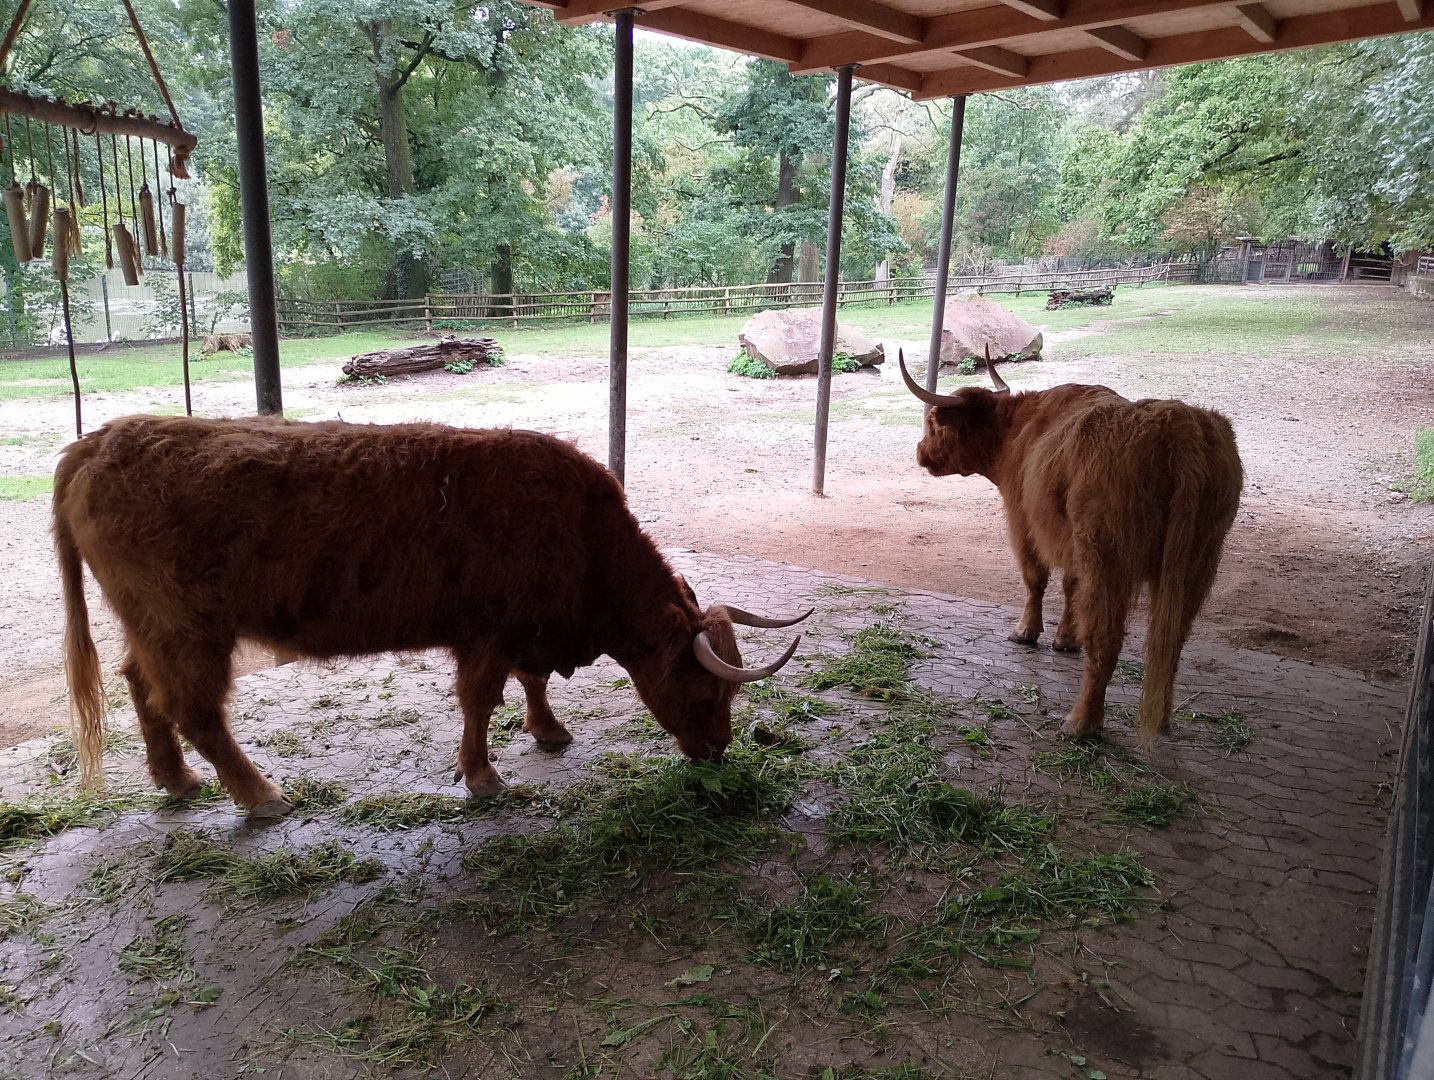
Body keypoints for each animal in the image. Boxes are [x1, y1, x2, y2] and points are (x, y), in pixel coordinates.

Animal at [53, 415, 810, 818]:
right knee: (195, 709)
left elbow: (532, 684)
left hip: (149, 625)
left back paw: (175, 779)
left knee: (139, 685)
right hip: (190, 630)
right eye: (705, 688)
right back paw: (259, 794)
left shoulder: (522, 632)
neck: (581, 534)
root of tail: (97, 441)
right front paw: (483, 776)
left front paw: (548, 732)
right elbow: (481, 701)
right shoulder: (489, 632)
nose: (717, 749)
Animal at [899, 349, 1243, 743]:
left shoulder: (1024, 521)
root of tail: (1181, 426)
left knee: (1107, 638)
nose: (920, 452)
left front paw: (1026, 632)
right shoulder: (1072, 542)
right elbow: (1070, 587)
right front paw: (1065, 638)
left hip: (1108, 556)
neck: (1017, 431)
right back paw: (1161, 717)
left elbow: (1036, 578)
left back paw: (1081, 723)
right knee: (1170, 640)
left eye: (934, 424)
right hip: (1199, 561)